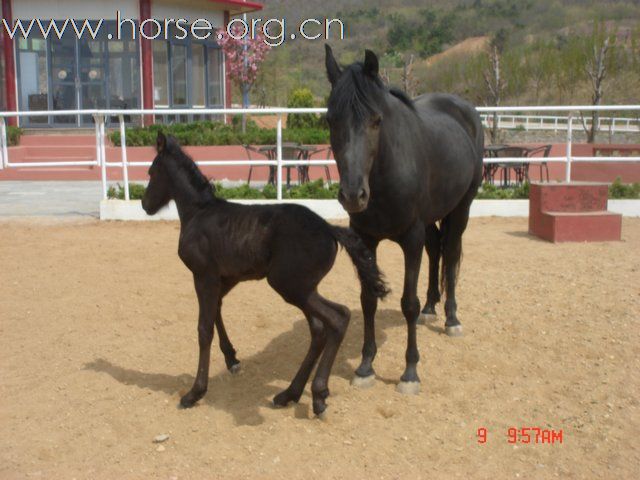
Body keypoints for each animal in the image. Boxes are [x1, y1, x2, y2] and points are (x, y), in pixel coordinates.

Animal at [142, 133, 388, 414]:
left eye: (152, 172)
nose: (145, 204)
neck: (199, 212)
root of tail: (329, 228)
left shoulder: (203, 276)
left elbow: (204, 329)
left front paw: (195, 392)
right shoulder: (226, 278)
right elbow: (216, 312)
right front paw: (232, 358)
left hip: (291, 286)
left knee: (338, 318)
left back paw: (317, 393)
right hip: (304, 289)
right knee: (319, 329)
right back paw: (290, 393)